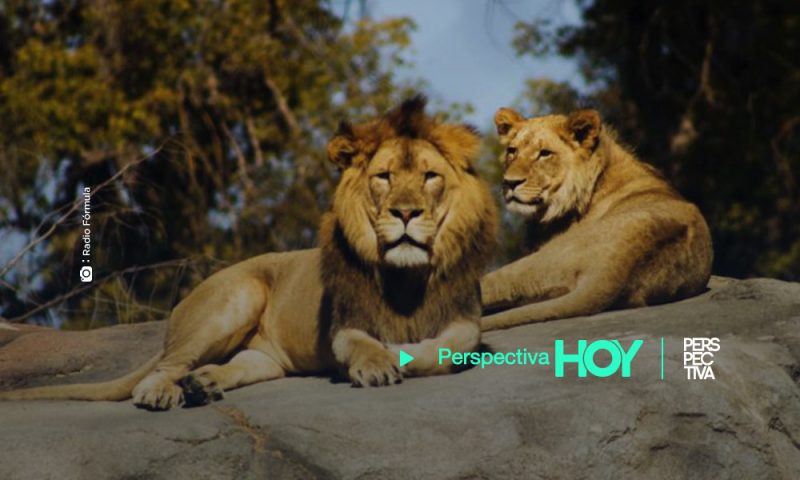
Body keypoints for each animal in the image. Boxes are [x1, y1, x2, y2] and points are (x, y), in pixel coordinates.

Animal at [0, 96, 497, 409]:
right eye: (385, 176)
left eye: (430, 176)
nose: (406, 212)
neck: (407, 275)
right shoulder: (344, 325)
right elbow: (364, 345)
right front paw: (379, 363)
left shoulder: (465, 321)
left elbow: (447, 348)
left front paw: (402, 354)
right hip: (232, 301)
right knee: (164, 367)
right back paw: (162, 392)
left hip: (264, 359)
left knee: (234, 365)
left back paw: (201, 385)